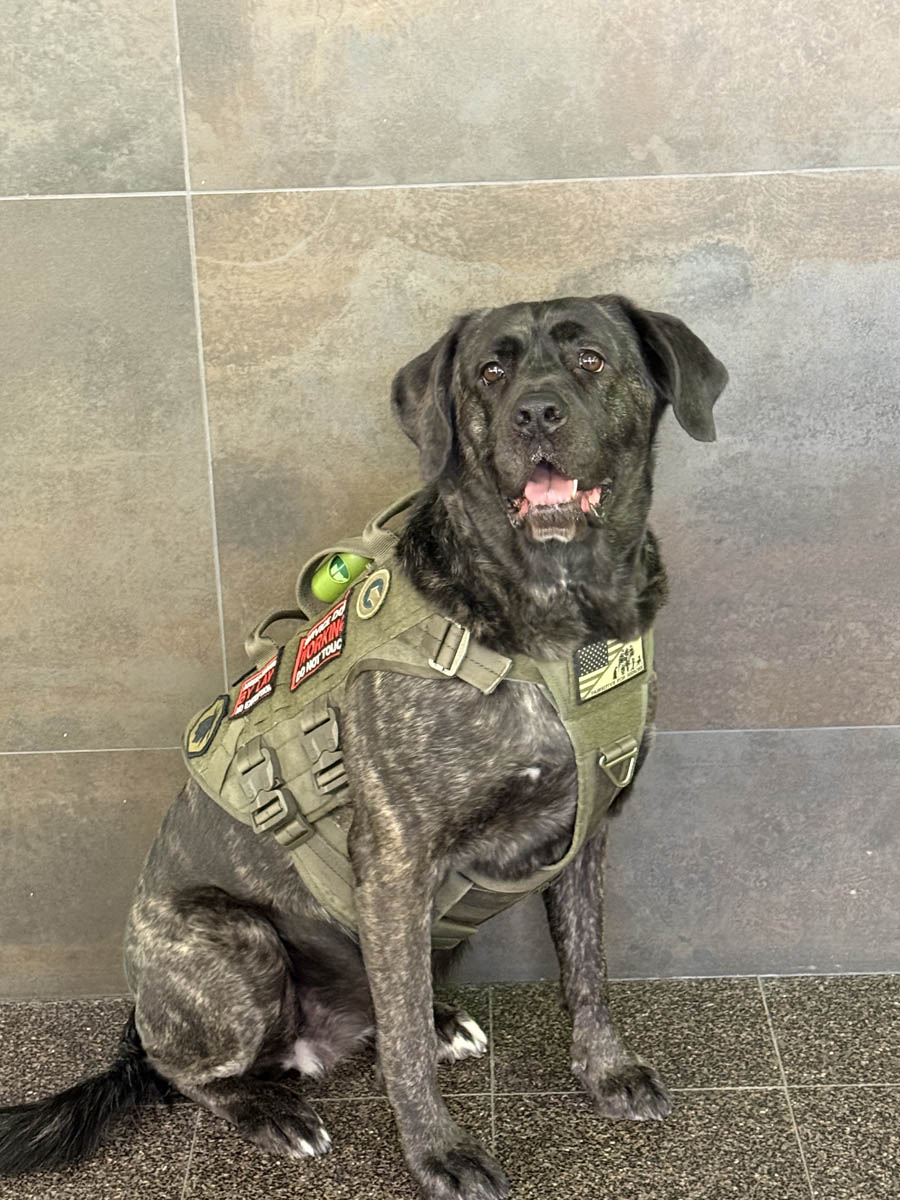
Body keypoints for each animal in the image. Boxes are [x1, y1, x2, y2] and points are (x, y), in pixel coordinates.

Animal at [0, 294, 727, 1199]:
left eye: (590, 359)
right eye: (491, 371)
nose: (536, 413)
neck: (552, 620)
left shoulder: (585, 834)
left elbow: (587, 970)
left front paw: (605, 1073)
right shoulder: (394, 859)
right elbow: (407, 1047)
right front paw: (439, 1155)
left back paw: (439, 1019)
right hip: (235, 948)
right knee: (192, 1071)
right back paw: (270, 1110)